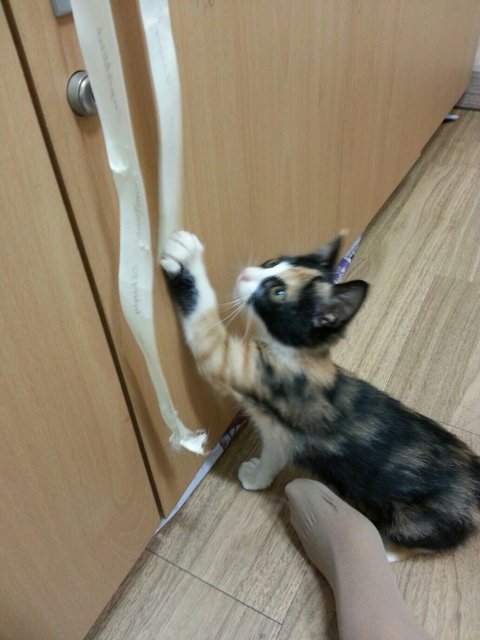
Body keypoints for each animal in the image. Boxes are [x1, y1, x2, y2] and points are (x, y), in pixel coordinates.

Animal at [161, 230, 480, 557]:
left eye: (278, 293)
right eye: (272, 263)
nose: (244, 274)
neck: (299, 353)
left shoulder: (258, 376)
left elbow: (207, 334)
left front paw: (185, 254)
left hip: (422, 519)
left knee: (421, 541)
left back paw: (387, 549)